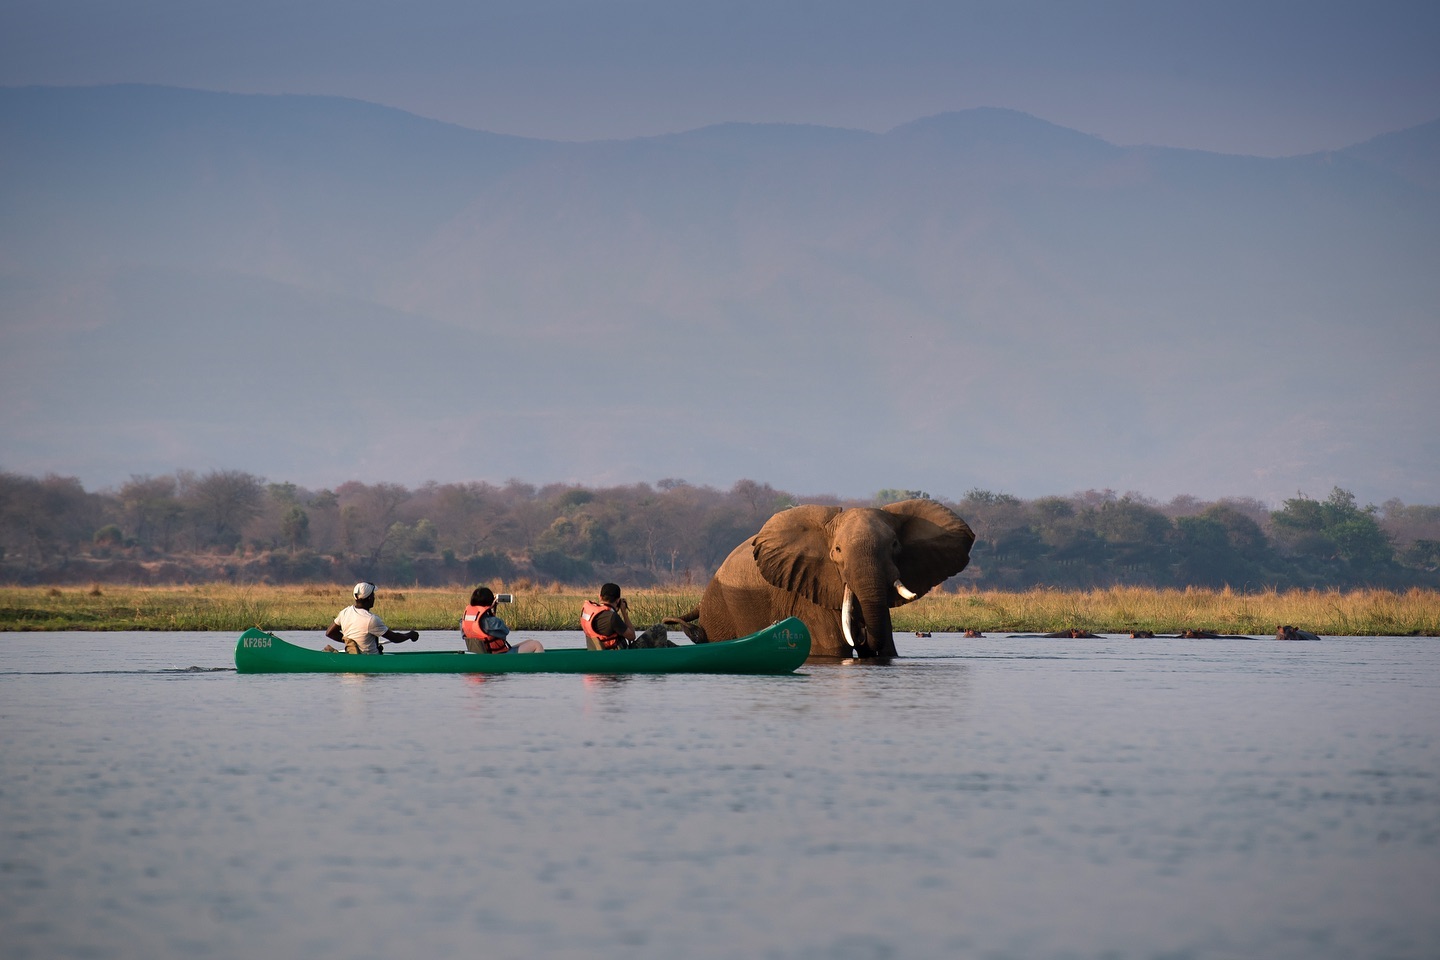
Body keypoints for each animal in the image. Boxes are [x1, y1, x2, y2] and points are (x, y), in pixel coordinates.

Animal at [683, 499, 976, 658]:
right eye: (837, 550)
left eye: (895, 545)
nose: (862, 635)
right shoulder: (807, 589)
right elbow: (833, 648)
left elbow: (887, 647)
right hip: (720, 609)